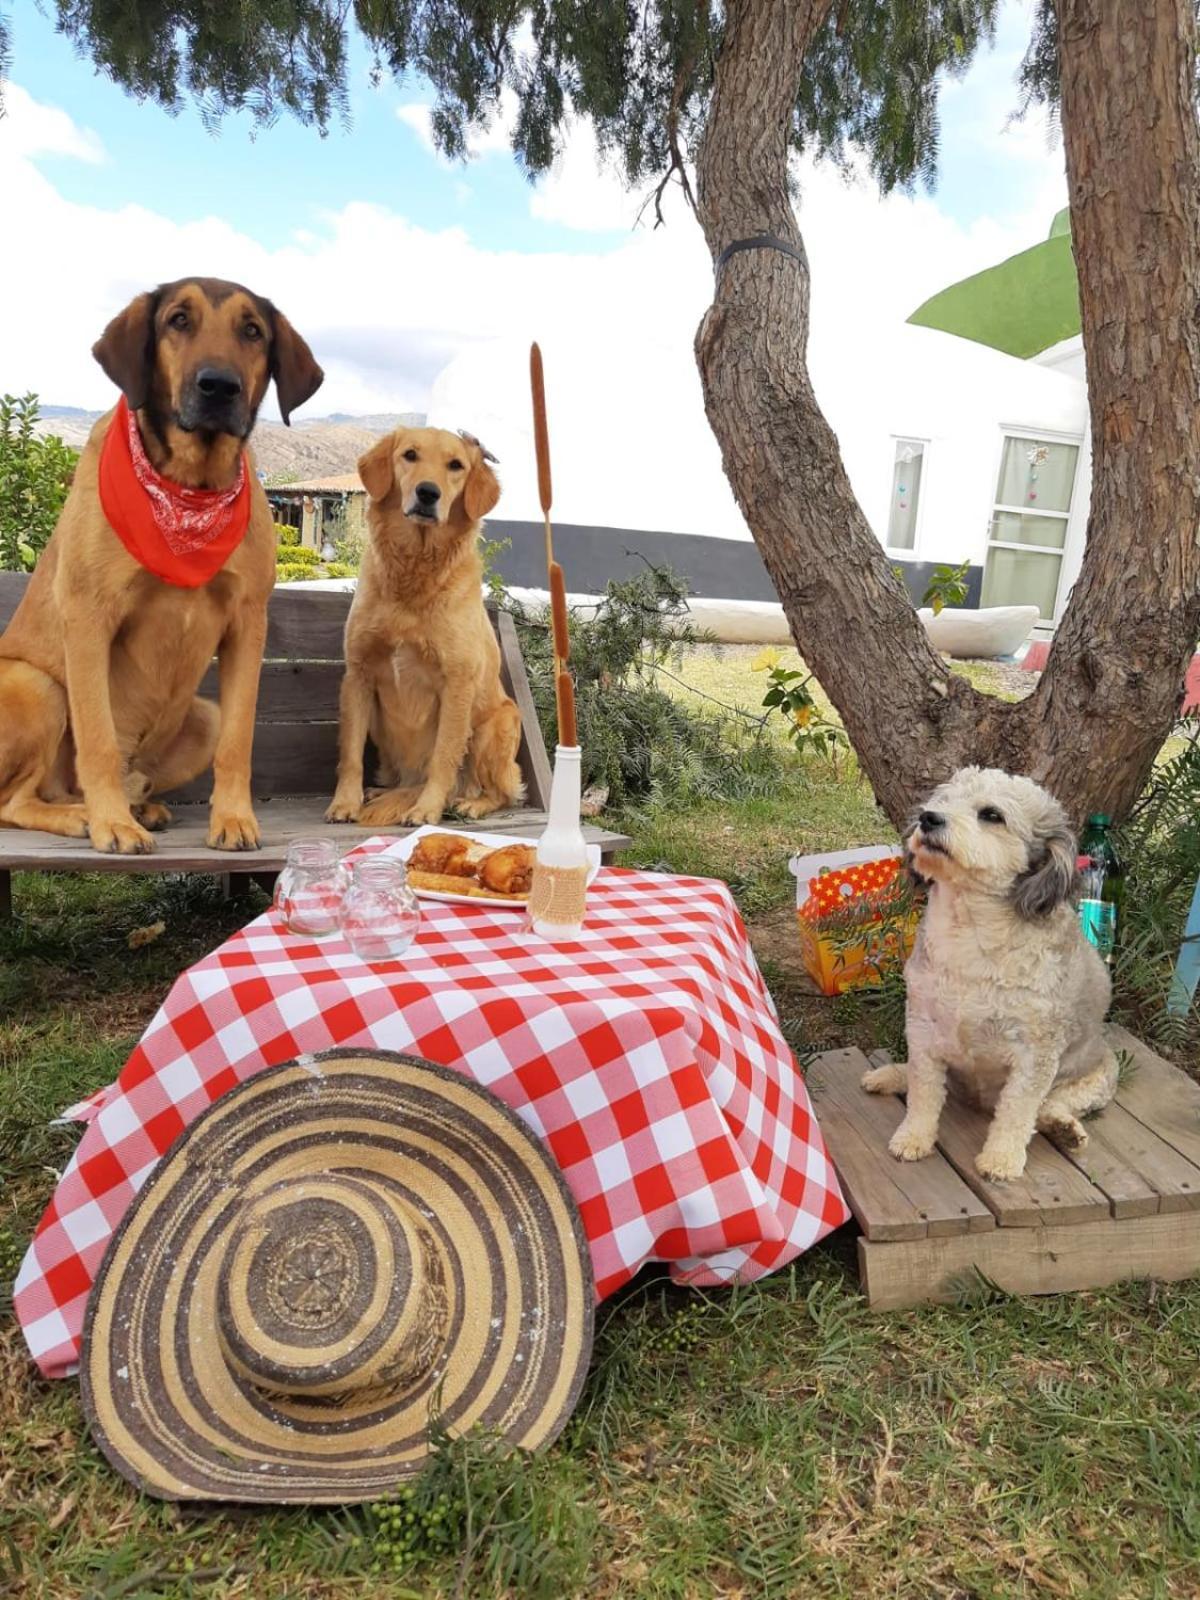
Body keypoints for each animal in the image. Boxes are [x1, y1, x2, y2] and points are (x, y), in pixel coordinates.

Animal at [0, 275, 324, 851]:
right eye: (178, 320)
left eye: (252, 331)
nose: (219, 387)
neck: (189, 490)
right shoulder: (89, 618)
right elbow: (98, 739)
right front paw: (111, 823)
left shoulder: (248, 623)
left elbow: (239, 741)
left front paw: (233, 818)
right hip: (34, 684)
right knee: (14, 801)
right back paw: (83, 815)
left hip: (202, 715)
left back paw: (135, 806)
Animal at [326, 425, 524, 825]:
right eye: (410, 455)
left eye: (456, 465)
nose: (428, 493)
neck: (414, 571)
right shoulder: (358, 674)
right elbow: (350, 754)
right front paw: (345, 802)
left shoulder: (457, 684)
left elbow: (443, 758)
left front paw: (427, 808)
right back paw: (383, 792)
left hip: (498, 723)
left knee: (500, 793)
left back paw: (469, 802)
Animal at [864, 768, 1120, 1184]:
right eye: (941, 801)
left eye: (991, 815)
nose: (928, 818)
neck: (970, 932)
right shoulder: (922, 1028)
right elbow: (923, 1092)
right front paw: (913, 1137)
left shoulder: (1036, 1054)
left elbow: (1017, 1112)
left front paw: (1000, 1159)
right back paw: (888, 1075)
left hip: (1098, 1076)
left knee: (1049, 1107)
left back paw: (1064, 1128)